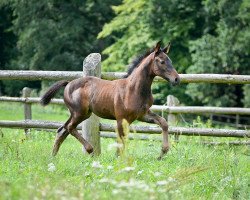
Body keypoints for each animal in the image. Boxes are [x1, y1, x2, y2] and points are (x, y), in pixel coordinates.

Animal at [41, 41, 180, 160]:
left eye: (171, 61)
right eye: (162, 61)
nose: (177, 79)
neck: (133, 89)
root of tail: (68, 83)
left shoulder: (142, 115)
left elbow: (163, 123)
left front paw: (162, 152)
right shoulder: (121, 118)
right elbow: (121, 139)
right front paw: (118, 159)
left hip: (81, 114)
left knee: (62, 130)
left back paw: (53, 156)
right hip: (80, 113)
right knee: (69, 127)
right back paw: (90, 150)